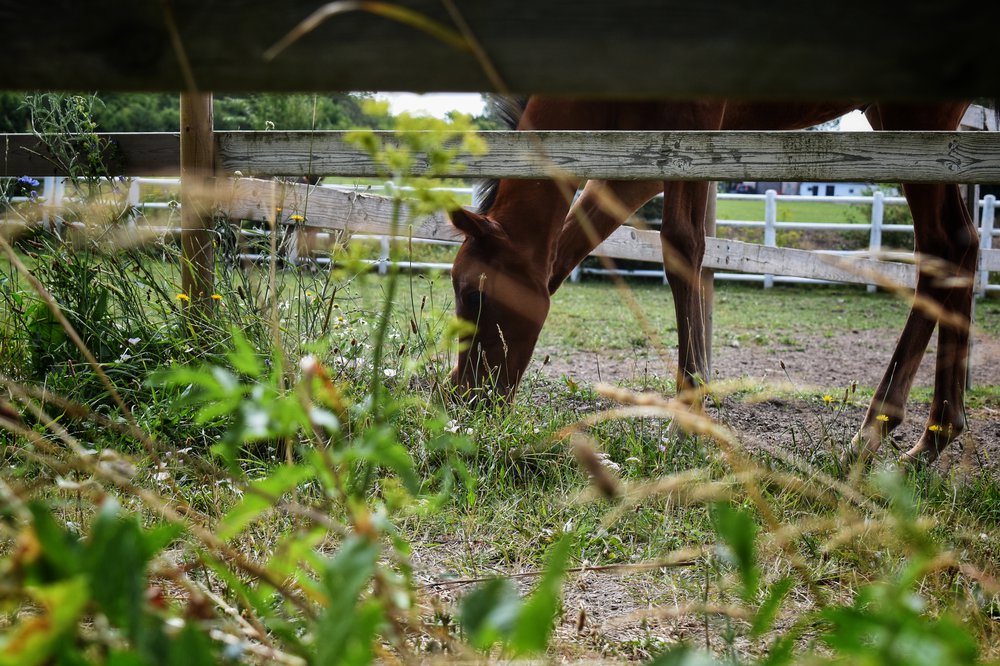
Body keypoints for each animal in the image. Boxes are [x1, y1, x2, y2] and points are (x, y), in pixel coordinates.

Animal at [450, 98, 972, 462]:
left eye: (475, 294)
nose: (464, 398)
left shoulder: (691, 126)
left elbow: (683, 247)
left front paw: (685, 422)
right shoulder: (633, 170)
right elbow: (564, 254)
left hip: (916, 120)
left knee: (942, 247)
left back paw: (877, 431)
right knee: (959, 246)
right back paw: (931, 438)